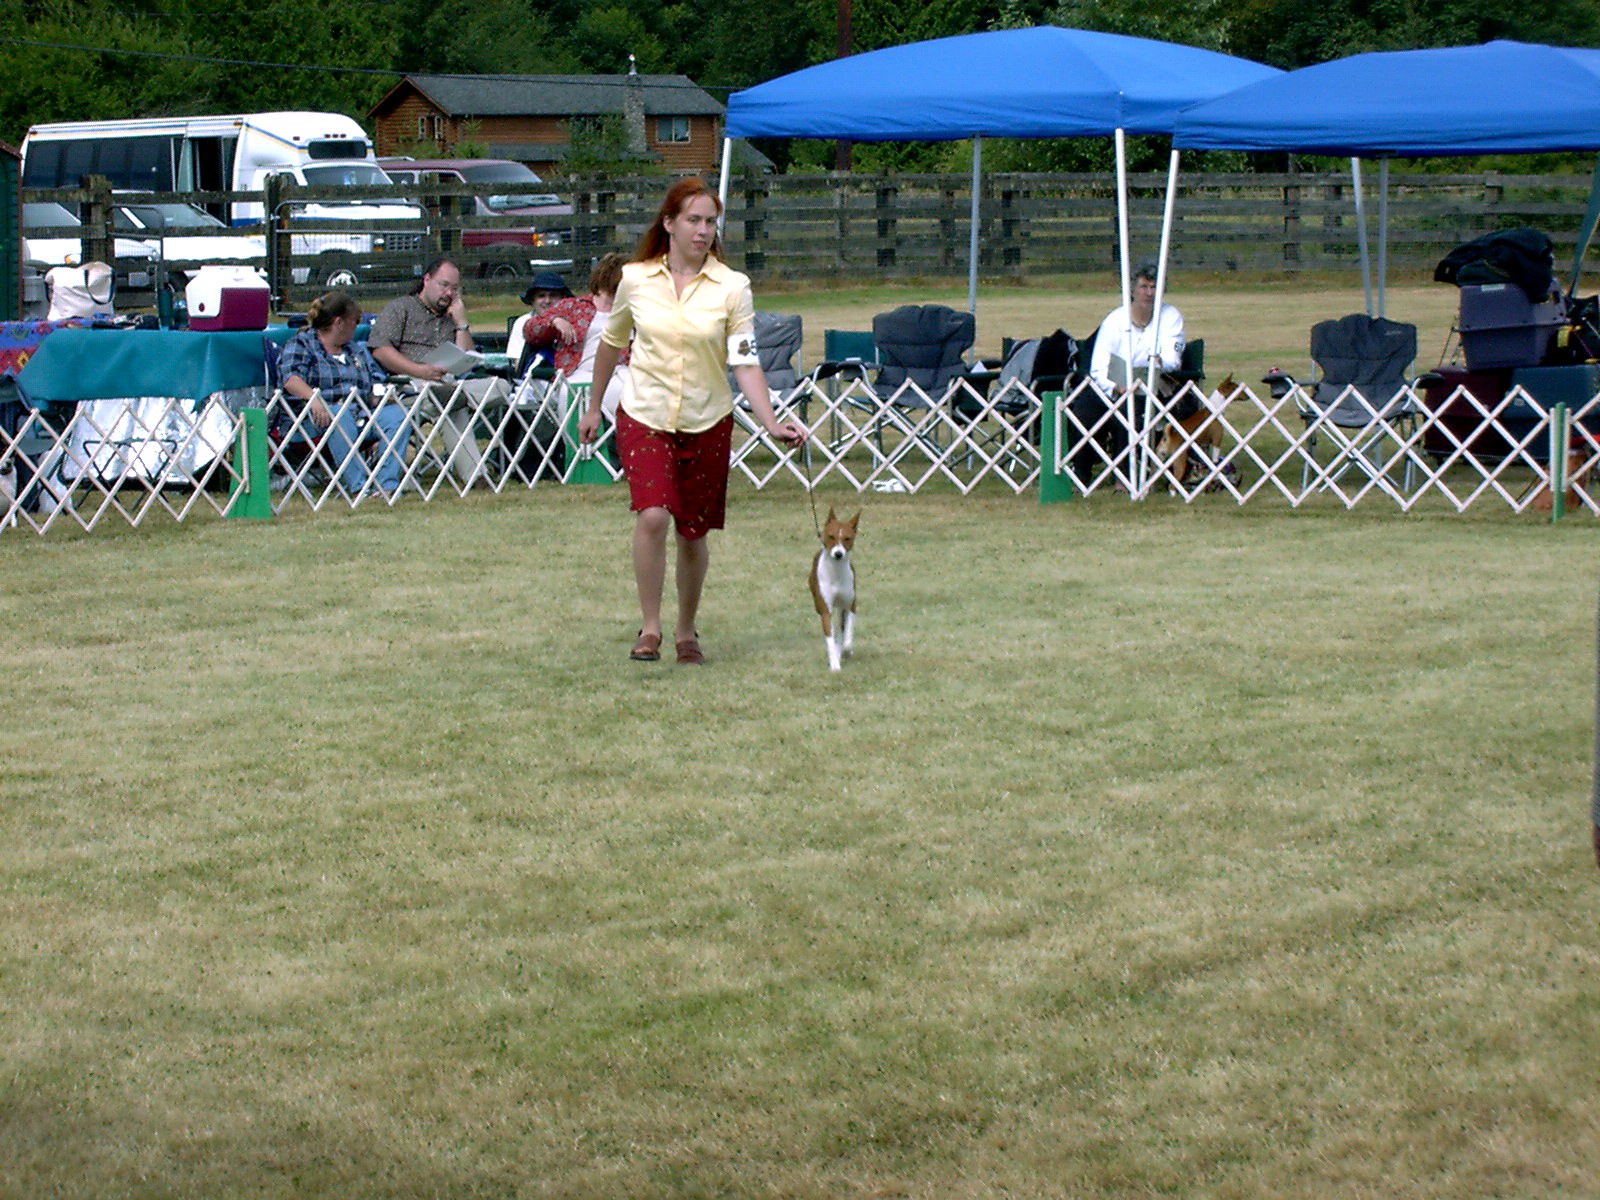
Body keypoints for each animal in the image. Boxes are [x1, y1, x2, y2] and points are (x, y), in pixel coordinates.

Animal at [810, 507, 859, 671]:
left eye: (847, 538)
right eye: (831, 536)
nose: (838, 553)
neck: (836, 573)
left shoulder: (850, 606)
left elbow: (847, 639)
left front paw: (845, 651)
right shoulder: (825, 610)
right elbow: (831, 640)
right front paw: (835, 665)